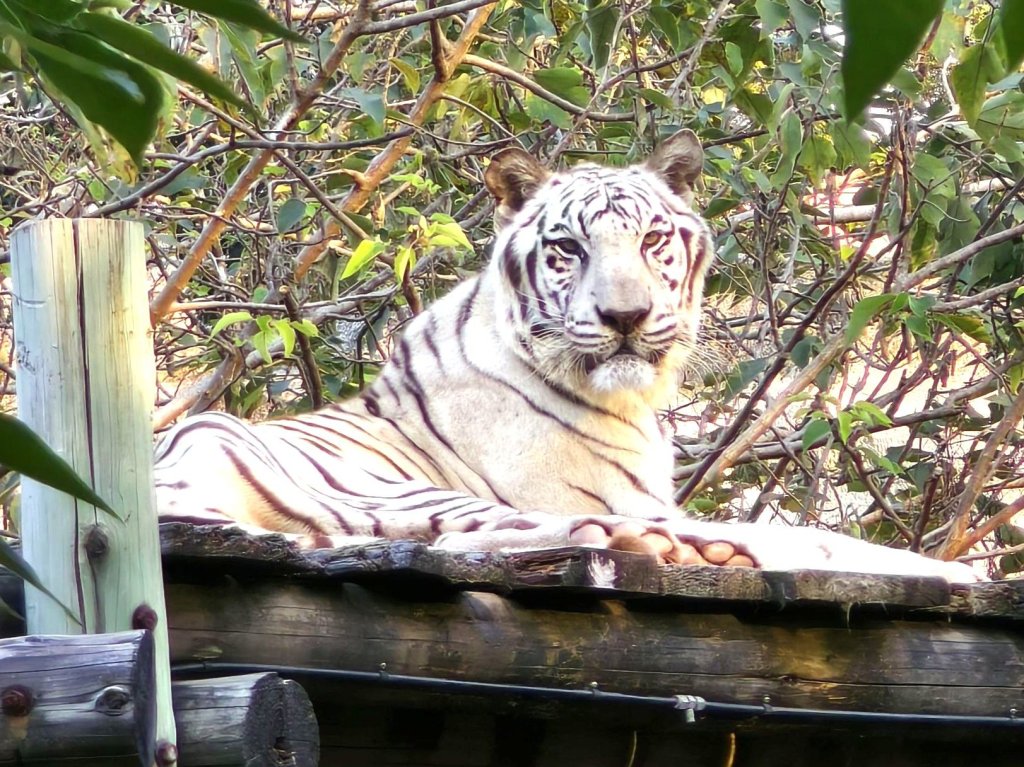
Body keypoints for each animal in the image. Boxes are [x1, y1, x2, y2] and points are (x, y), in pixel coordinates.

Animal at [155, 130, 977, 583]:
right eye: (568, 249)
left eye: (652, 240)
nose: (625, 317)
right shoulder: (611, 493)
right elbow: (822, 537)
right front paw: (955, 571)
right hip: (342, 477)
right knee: (471, 536)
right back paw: (664, 548)